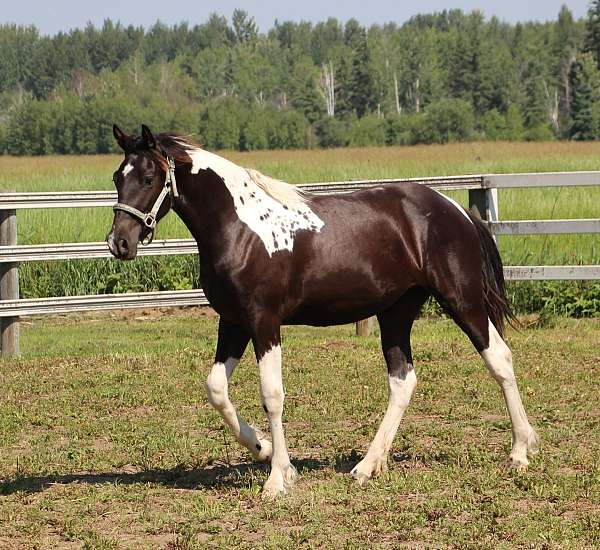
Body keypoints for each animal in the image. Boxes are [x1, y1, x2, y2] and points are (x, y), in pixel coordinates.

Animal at [106, 125, 540, 500]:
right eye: (116, 177)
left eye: (149, 178)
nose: (119, 243)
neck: (241, 228)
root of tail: (457, 210)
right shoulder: (233, 322)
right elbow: (216, 389)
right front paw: (263, 450)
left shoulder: (264, 322)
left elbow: (272, 394)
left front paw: (278, 479)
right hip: (396, 313)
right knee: (403, 381)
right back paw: (367, 466)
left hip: (462, 300)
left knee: (499, 359)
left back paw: (520, 452)